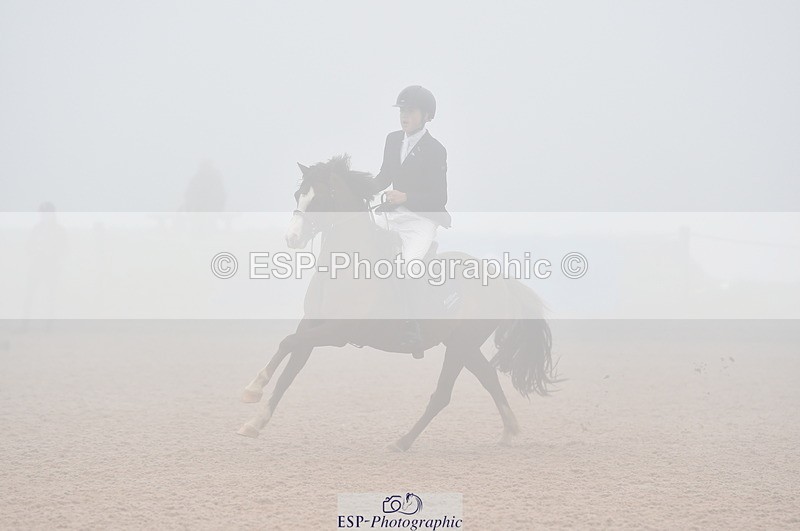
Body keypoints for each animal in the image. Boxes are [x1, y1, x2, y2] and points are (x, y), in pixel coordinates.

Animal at [237, 155, 559, 451]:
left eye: (323, 196)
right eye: (298, 195)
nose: (292, 238)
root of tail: (499, 279)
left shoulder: (338, 331)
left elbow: (288, 342)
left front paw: (253, 388)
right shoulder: (312, 323)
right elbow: (289, 368)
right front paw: (254, 419)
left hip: (461, 345)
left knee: (443, 394)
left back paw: (402, 442)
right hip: (463, 345)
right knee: (488, 377)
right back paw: (508, 431)